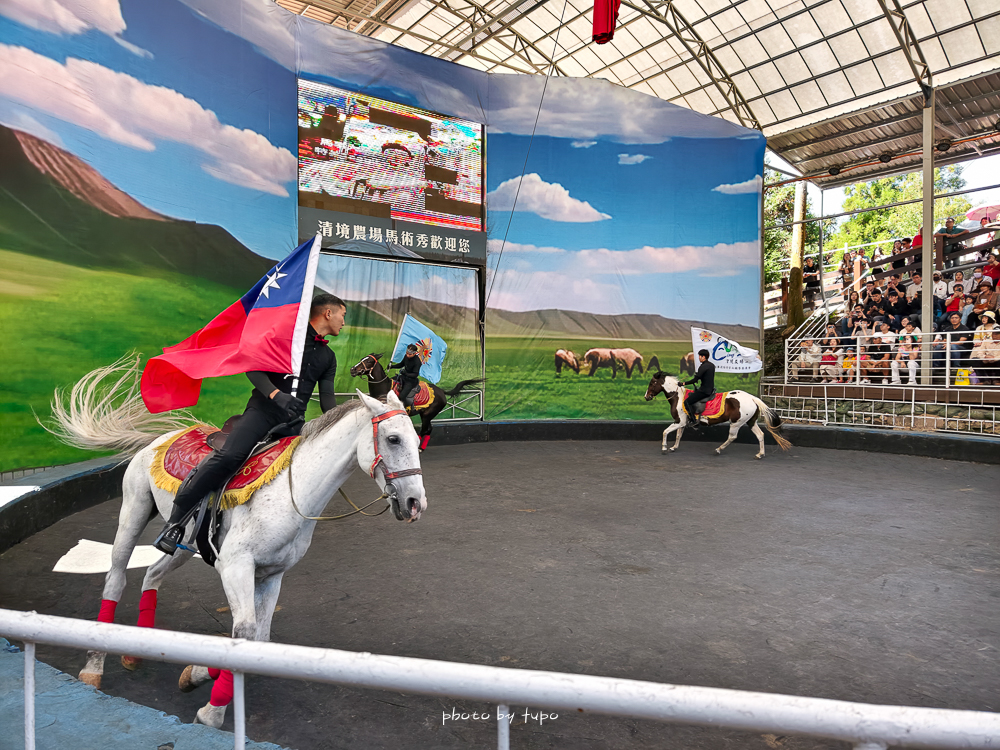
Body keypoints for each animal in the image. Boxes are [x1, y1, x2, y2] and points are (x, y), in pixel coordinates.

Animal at [45, 358, 426, 728]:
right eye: (393, 439)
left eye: (414, 436)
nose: (415, 503)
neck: (292, 490)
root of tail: (159, 438)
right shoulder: (235, 566)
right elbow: (244, 632)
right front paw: (212, 712)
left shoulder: (272, 574)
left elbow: (259, 637)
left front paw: (196, 676)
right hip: (133, 513)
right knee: (116, 577)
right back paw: (94, 666)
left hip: (184, 545)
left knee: (152, 574)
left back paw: (138, 648)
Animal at [350, 354, 482, 452]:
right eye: (362, 359)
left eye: (369, 361)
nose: (352, 369)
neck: (385, 387)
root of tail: (441, 391)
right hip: (426, 415)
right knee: (429, 429)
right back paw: (421, 448)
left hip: (427, 415)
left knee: (424, 430)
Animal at [644, 370, 792, 458]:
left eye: (652, 383)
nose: (646, 397)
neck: (678, 397)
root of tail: (752, 398)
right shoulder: (682, 423)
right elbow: (678, 435)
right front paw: (674, 447)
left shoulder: (679, 421)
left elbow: (665, 432)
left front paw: (664, 448)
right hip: (751, 422)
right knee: (760, 435)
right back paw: (760, 454)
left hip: (736, 423)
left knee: (732, 437)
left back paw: (718, 449)